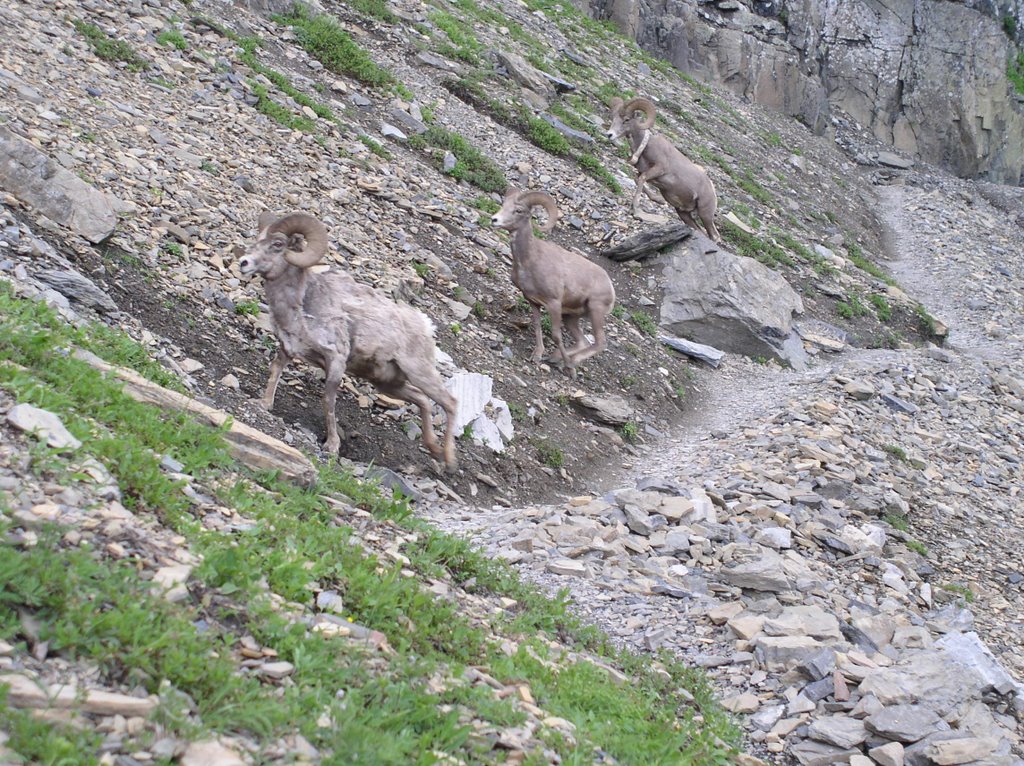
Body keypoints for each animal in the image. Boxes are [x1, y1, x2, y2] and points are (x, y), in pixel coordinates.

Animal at [237, 211, 458, 469]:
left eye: (278, 244)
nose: (244, 263)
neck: (300, 307)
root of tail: (425, 326)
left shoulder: (336, 361)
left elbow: (328, 401)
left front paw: (332, 446)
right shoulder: (288, 349)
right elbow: (275, 373)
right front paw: (264, 404)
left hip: (419, 373)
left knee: (450, 402)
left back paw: (449, 460)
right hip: (388, 383)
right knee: (423, 401)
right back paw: (434, 448)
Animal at [489, 188, 614, 374]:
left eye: (518, 210)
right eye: (504, 205)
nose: (494, 220)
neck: (530, 260)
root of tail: (610, 287)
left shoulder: (554, 303)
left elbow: (556, 335)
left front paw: (568, 367)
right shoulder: (533, 301)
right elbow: (538, 326)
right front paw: (537, 356)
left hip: (595, 311)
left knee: (600, 343)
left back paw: (570, 362)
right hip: (571, 317)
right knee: (583, 341)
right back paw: (556, 358)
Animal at [602, 95, 724, 240]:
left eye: (626, 119)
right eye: (613, 117)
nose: (609, 134)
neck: (644, 146)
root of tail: (712, 189)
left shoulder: (659, 169)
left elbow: (641, 179)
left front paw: (637, 209)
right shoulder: (644, 172)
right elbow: (637, 180)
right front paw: (658, 200)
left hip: (705, 214)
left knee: (715, 236)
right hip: (684, 214)